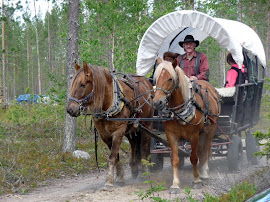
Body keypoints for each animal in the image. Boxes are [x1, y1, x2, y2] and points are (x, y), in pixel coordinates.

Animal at [66, 61, 154, 191]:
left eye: (82, 85)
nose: (70, 109)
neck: (109, 104)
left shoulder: (118, 131)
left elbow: (112, 156)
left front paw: (109, 182)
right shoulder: (105, 135)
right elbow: (116, 157)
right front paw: (120, 178)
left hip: (147, 124)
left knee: (144, 146)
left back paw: (144, 171)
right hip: (131, 129)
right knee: (134, 144)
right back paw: (134, 168)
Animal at [153, 60, 220, 193]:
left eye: (170, 79)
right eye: (156, 78)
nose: (157, 102)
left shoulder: (194, 135)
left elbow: (194, 158)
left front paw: (196, 180)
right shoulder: (171, 135)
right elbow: (175, 160)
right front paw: (175, 184)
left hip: (210, 131)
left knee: (206, 150)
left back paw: (204, 174)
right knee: (201, 151)